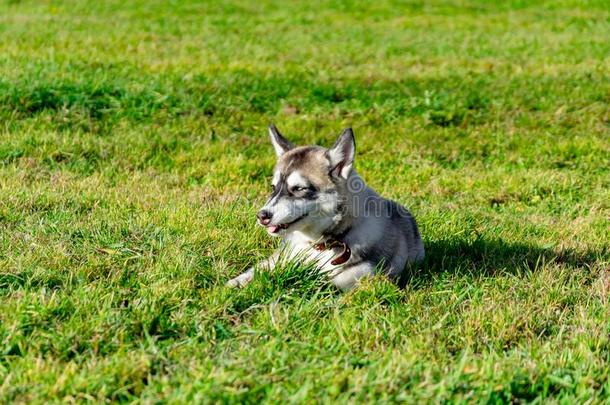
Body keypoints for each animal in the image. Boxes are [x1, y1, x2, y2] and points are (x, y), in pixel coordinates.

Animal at [227, 124, 422, 288]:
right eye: (273, 187)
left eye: (299, 188)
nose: (262, 216)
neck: (318, 245)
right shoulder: (280, 256)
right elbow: (257, 269)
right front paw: (234, 284)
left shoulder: (364, 275)